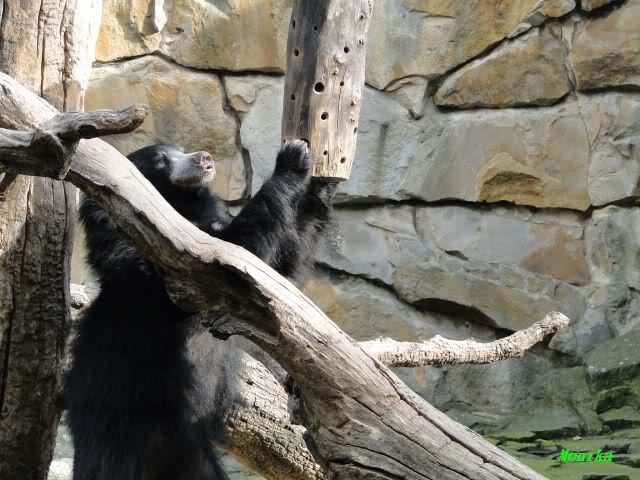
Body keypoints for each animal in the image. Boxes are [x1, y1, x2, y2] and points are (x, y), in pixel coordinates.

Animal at [64, 141, 335, 480]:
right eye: (161, 160)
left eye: (180, 149)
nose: (204, 158)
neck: (179, 209)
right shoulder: (154, 258)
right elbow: (230, 257)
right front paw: (292, 157)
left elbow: (279, 270)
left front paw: (320, 185)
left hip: (192, 454)